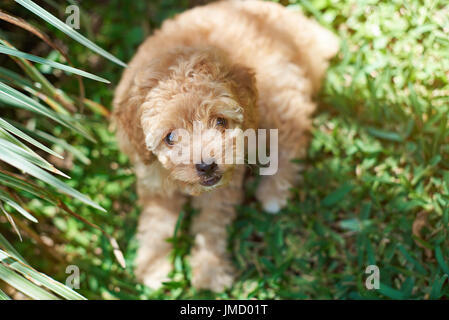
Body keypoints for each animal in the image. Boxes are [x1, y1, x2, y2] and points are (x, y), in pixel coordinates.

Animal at [112, 0, 336, 292]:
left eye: (220, 121)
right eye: (170, 137)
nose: (207, 166)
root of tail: (291, 24)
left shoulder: (222, 188)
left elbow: (211, 226)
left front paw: (210, 273)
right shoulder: (153, 182)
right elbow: (156, 225)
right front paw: (154, 268)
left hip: (277, 97)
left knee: (292, 138)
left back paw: (274, 193)